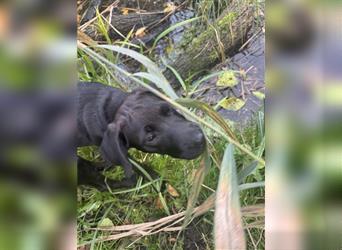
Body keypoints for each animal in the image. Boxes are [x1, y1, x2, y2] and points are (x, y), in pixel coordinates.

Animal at [78, 82, 206, 189]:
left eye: (168, 109)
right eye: (150, 138)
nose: (199, 138)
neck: (113, 107)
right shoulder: (123, 153)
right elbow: (140, 167)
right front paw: (158, 182)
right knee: (102, 185)